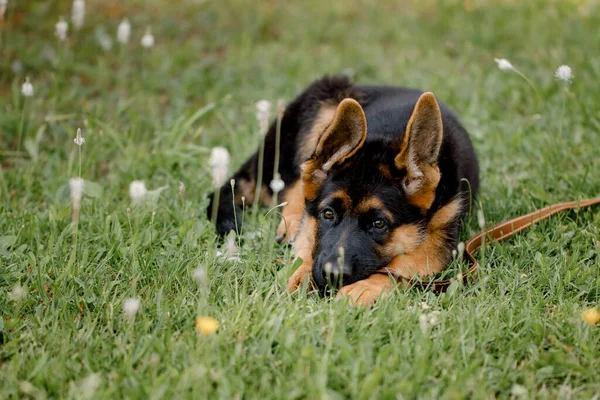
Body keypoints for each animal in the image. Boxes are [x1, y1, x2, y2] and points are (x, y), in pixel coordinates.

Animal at [209, 75, 480, 304]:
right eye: (328, 214)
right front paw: (300, 275)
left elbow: (406, 263)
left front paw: (366, 288)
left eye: (379, 224)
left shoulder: (443, 237)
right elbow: (308, 243)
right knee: (297, 180)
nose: (332, 276)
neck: (386, 133)